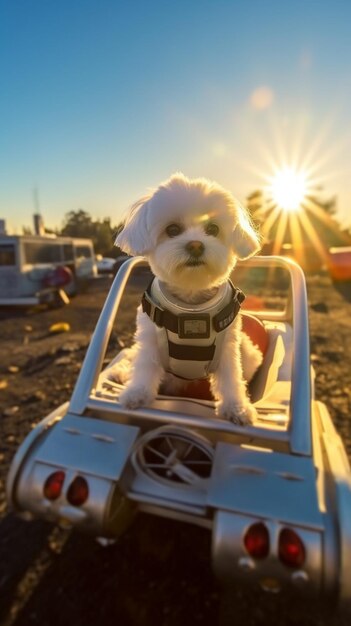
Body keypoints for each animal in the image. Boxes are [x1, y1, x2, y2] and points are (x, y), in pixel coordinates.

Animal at [111, 171, 262, 424]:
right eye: (172, 229)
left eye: (213, 229)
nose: (196, 245)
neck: (191, 304)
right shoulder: (150, 340)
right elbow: (144, 367)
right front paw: (136, 393)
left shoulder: (228, 347)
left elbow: (230, 377)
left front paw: (237, 408)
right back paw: (119, 373)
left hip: (249, 354)